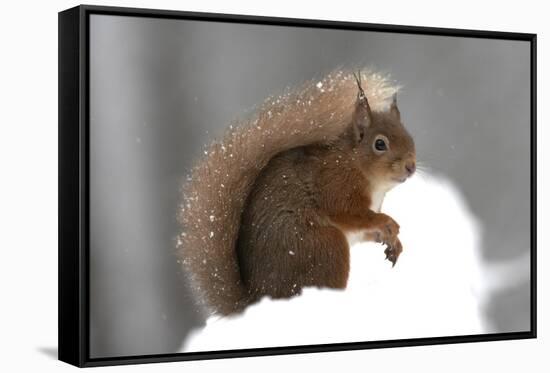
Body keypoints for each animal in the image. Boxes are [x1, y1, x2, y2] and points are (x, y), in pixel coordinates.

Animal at [179, 69, 416, 314]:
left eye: (409, 137)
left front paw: (393, 241)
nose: (411, 166)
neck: (355, 164)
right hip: (324, 246)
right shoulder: (334, 185)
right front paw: (387, 222)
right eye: (380, 144)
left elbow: (364, 232)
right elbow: (349, 213)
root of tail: (258, 299)